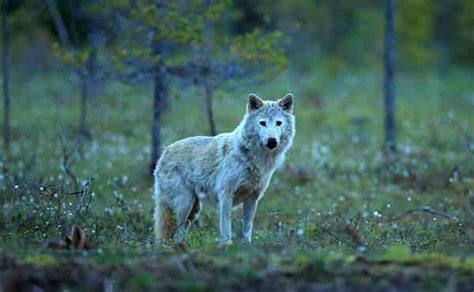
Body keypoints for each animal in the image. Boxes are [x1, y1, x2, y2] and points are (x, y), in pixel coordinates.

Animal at [152, 92, 294, 243]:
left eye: (278, 123)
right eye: (262, 123)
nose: (272, 141)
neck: (255, 158)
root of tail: (164, 152)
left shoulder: (252, 198)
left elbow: (247, 228)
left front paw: (246, 245)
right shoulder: (226, 195)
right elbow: (226, 228)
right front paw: (227, 245)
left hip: (194, 210)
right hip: (184, 204)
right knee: (176, 233)